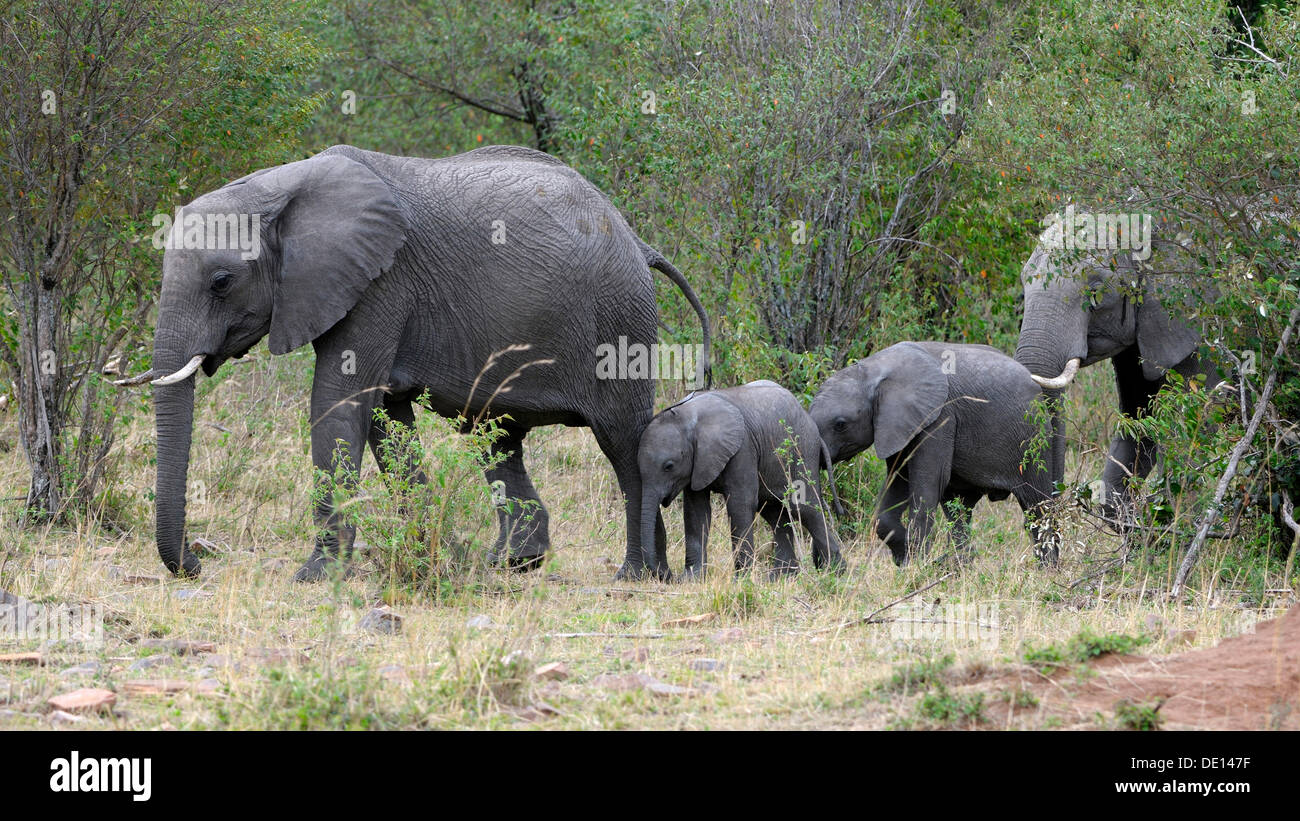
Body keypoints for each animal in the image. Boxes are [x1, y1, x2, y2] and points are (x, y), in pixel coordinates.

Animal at [637, 381, 842, 579]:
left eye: (669, 466)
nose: (665, 575)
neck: (689, 415)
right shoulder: (697, 462)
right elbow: (696, 511)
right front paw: (691, 578)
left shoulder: (743, 448)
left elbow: (739, 505)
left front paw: (741, 579)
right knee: (775, 513)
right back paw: (782, 577)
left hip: (802, 450)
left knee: (805, 507)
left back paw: (834, 572)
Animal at [806, 340, 1060, 563]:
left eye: (840, 424)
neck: (874, 369)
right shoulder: (899, 424)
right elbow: (898, 481)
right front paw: (904, 556)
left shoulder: (941, 415)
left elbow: (928, 484)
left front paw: (914, 566)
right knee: (958, 510)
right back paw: (958, 566)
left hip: (1035, 440)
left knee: (1037, 506)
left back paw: (1047, 570)